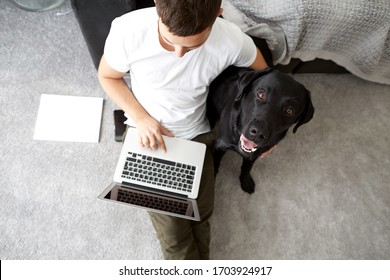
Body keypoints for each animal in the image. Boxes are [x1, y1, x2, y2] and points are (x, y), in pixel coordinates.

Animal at [207, 66, 314, 194]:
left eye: (289, 110)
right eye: (261, 94)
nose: (258, 133)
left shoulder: (255, 154)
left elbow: (247, 168)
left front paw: (245, 181)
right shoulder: (221, 145)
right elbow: (215, 163)